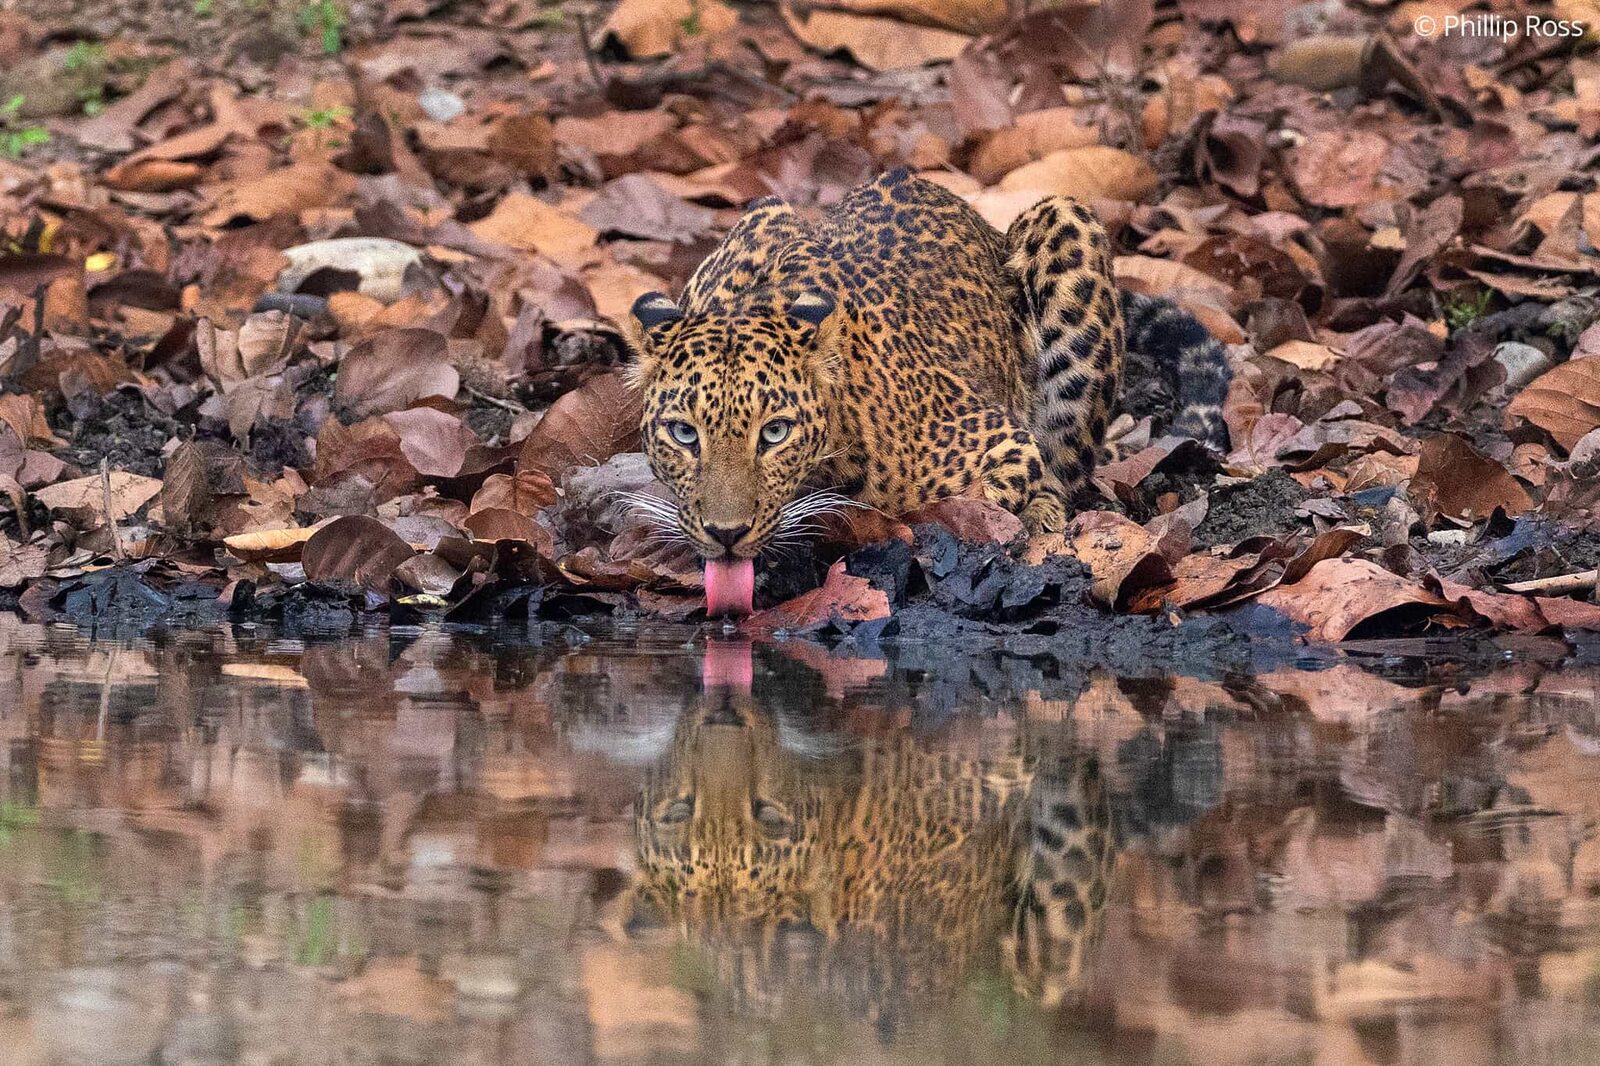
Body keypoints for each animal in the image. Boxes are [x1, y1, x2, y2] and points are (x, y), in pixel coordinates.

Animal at [623, 167, 1232, 562]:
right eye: (683, 434)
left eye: (775, 433)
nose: (726, 533)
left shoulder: (1002, 441)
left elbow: (982, 498)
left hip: (1064, 221)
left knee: (1066, 468)